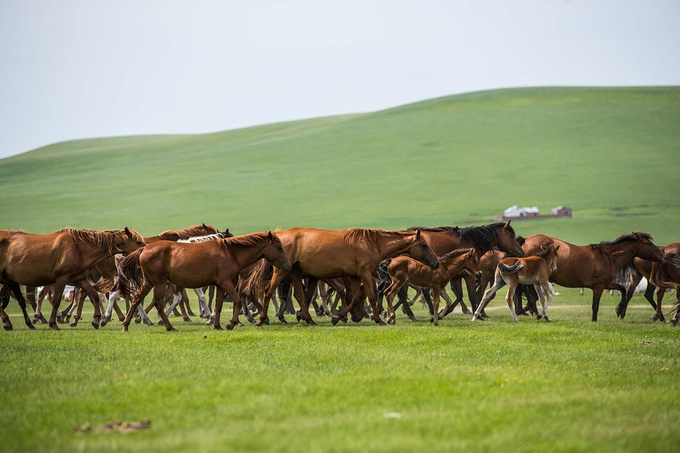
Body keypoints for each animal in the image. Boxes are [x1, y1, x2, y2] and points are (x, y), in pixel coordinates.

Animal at [0, 227, 145, 330]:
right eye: (138, 242)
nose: (146, 250)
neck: (78, 247)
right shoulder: (62, 278)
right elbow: (57, 300)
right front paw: (53, 323)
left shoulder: (79, 279)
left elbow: (94, 295)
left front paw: (96, 320)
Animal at [117, 231, 290, 331]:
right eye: (279, 247)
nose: (287, 266)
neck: (231, 252)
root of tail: (144, 249)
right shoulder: (226, 283)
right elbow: (237, 300)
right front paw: (231, 323)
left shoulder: (220, 285)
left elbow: (219, 305)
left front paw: (217, 325)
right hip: (158, 283)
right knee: (158, 304)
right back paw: (169, 327)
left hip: (148, 283)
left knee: (136, 299)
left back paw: (126, 325)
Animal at [243, 228, 440, 326]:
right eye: (424, 245)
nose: (437, 262)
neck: (372, 243)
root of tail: (279, 235)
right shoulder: (365, 274)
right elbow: (371, 297)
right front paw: (379, 320)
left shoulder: (355, 276)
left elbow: (353, 298)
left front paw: (336, 317)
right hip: (282, 271)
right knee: (269, 292)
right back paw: (261, 319)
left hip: (295, 272)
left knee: (299, 295)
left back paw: (309, 320)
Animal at [521, 232, 664, 321]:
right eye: (650, 244)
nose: (662, 255)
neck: (607, 257)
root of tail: (526, 241)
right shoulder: (598, 287)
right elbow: (595, 305)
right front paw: (595, 320)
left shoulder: (606, 284)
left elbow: (623, 289)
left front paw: (619, 310)